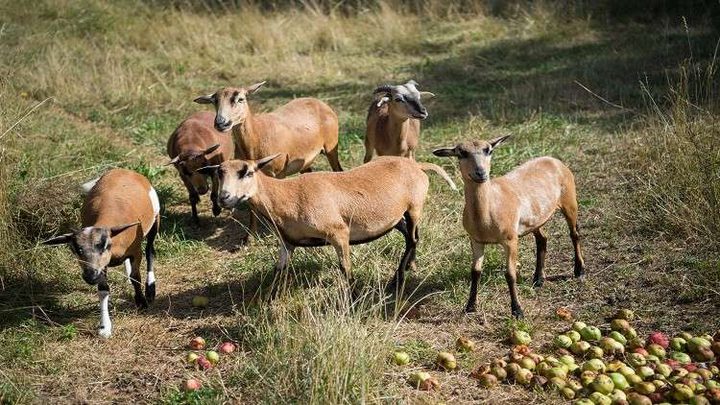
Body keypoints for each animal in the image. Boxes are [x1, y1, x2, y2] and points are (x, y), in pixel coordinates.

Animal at [43, 168, 161, 338]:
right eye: (76, 249)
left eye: (104, 245)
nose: (90, 276)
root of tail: (122, 170)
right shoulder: (102, 266)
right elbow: (103, 290)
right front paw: (105, 327)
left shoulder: (135, 251)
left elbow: (136, 277)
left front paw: (141, 302)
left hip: (155, 219)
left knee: (150, 250)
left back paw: (151, 288)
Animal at [197, 155, 456, 294]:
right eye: (219, 174)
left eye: (248, 172)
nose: (224, 198)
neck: (285, 195)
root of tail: (418, 166)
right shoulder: (287, 242)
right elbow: (278, 270)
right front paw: (266, 297)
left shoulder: (339, 232)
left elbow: (345, 268)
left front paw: (353, 297)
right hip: (395, 217)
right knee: (411, 237)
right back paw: (410, 265)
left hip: (414, 207)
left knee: (412, 238)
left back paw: (397, 280)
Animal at [434, 136, 584, 318]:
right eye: (461, 153)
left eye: (489, 150)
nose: (481, 173)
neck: (488, 211)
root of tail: (553, 159)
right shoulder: (476, 240)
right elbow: (475, 272)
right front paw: (470, 306)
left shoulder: (510, 239)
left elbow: (510, 274)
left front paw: (517, 310)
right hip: (535, 218)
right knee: (542, 239)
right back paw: (539, 279)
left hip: (570, 200)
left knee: (574, 234)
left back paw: (579, 270)